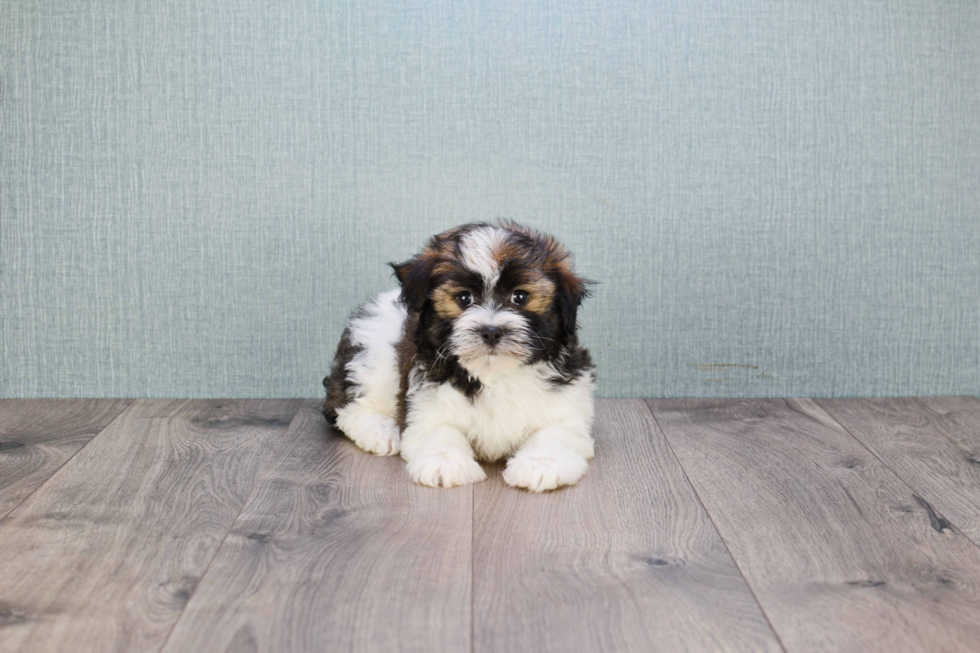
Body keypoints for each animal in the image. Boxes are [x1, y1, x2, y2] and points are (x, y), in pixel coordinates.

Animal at [326, 220, 592, 488]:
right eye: (465, 298)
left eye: (519, 297)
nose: (491, 331)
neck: (494, 375)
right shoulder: (428, 400)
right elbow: (440, 430)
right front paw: (444, 462)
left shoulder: (566, 404)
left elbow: (556, 431)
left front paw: (541, 464)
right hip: (372, 350)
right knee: (350, 405)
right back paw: (381, 432)